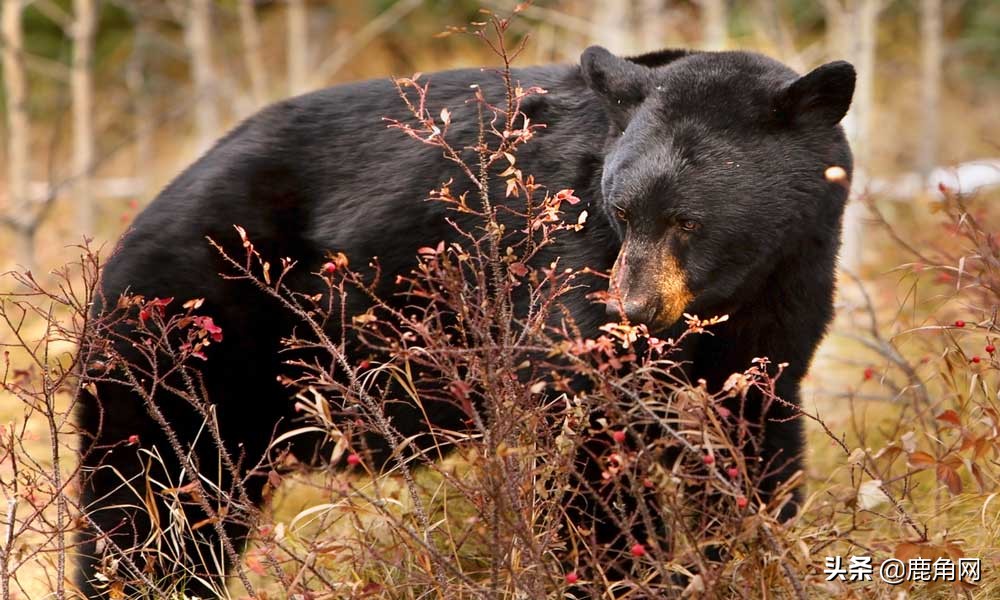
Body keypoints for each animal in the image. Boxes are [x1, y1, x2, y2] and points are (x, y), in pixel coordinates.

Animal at [76, 45, 852, 596]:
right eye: (623, 209)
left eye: (688, 221)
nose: (632, 310)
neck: (731, 291)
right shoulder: (564, 264)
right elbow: (591, 442)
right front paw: (627, 573)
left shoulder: (790, 288)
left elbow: (753, 434)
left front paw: (745, 550)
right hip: (188, 340)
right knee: (150, 496)